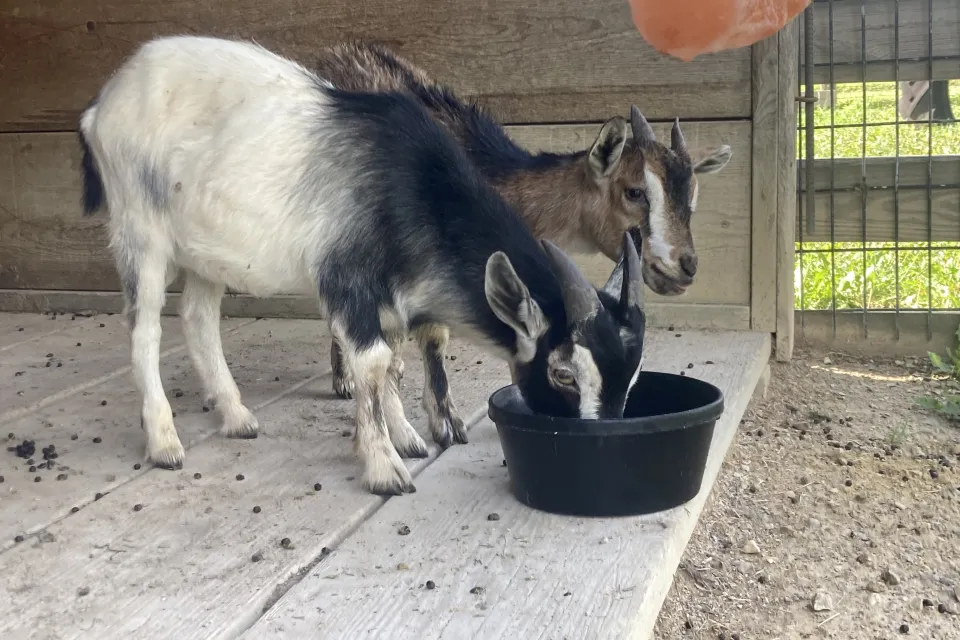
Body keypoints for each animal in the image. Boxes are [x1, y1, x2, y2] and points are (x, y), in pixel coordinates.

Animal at [77, 35, 647, 496]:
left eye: (633, 373)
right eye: (563, 373)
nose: (601, 441)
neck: (411, 183)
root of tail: (101, 106)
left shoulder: (391, 295)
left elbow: (391, 362)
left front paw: (407, 438)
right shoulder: (347, 277)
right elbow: (372, 362)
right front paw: (384, 467)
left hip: (206, 250)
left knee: (198, 317)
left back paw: (237, 416)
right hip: (140, 228)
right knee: (145, 327)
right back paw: (164, 442)